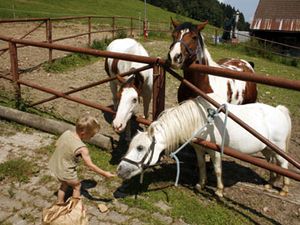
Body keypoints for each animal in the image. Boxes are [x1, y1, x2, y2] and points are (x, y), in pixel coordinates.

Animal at [118, 95, 292, 197]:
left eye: (140, 148)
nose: (120, 170)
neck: (202, 120)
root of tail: (280, 111)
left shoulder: (214, 151)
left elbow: (217, 169)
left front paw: (219, 190)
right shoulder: (199, 148)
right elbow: (201, 165)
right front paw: (200, 184)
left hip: (278, 148)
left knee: (283, 165)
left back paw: (284, 189)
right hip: (267, 149)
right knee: (272, 164)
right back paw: (270, 184)